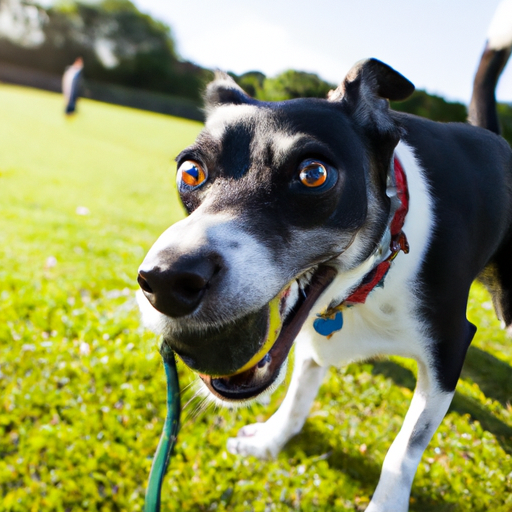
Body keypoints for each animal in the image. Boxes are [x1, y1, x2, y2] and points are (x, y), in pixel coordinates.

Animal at [136, 5, 512, 512]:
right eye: (190, 171)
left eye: (313, 174)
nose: (166, 280)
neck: (376, 272)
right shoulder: (310, 335)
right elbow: (297, 396)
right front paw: (270, 442)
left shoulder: (449, 350)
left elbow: (403, 451)